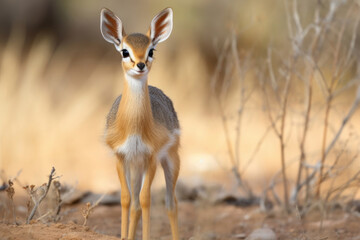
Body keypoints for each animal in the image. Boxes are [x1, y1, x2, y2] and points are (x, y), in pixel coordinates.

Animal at [100, 7, 180, 240]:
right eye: (124, 51)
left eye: (151, 50)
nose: (141, 65)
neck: (133, 126)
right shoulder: (121, 157)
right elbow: (126, 199)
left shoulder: (151, 157)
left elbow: (146, 199)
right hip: (135, 166)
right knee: (134, 203)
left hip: (170, 160)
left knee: (171, 203)